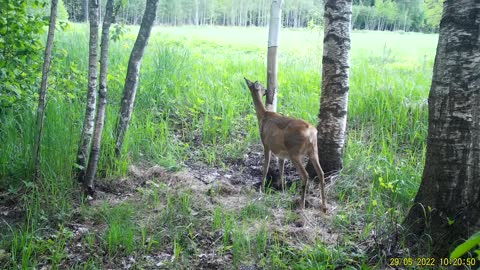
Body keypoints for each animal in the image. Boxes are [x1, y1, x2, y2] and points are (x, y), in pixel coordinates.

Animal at [244, 78, 326, 211]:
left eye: (260, 84)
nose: (266, 90)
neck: (263, 116)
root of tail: (311, 132)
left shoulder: (266, 144)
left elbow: (265, 167)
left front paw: (262, 188)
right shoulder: (281, 153)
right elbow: (281, 171)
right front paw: (282, 190)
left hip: (295, 152)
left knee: (305, 175)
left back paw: (302, 204)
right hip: (314, 150)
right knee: (321, 173)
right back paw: (324, 206)